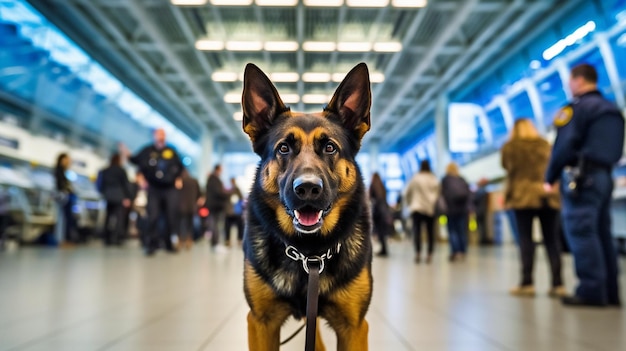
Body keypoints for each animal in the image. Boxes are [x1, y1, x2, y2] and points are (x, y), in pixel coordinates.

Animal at [241, 63, 370, 351]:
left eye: (330, 147)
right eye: (284, 148)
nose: (307, 188)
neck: (308, 253)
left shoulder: (354, 328)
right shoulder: (261, 323)